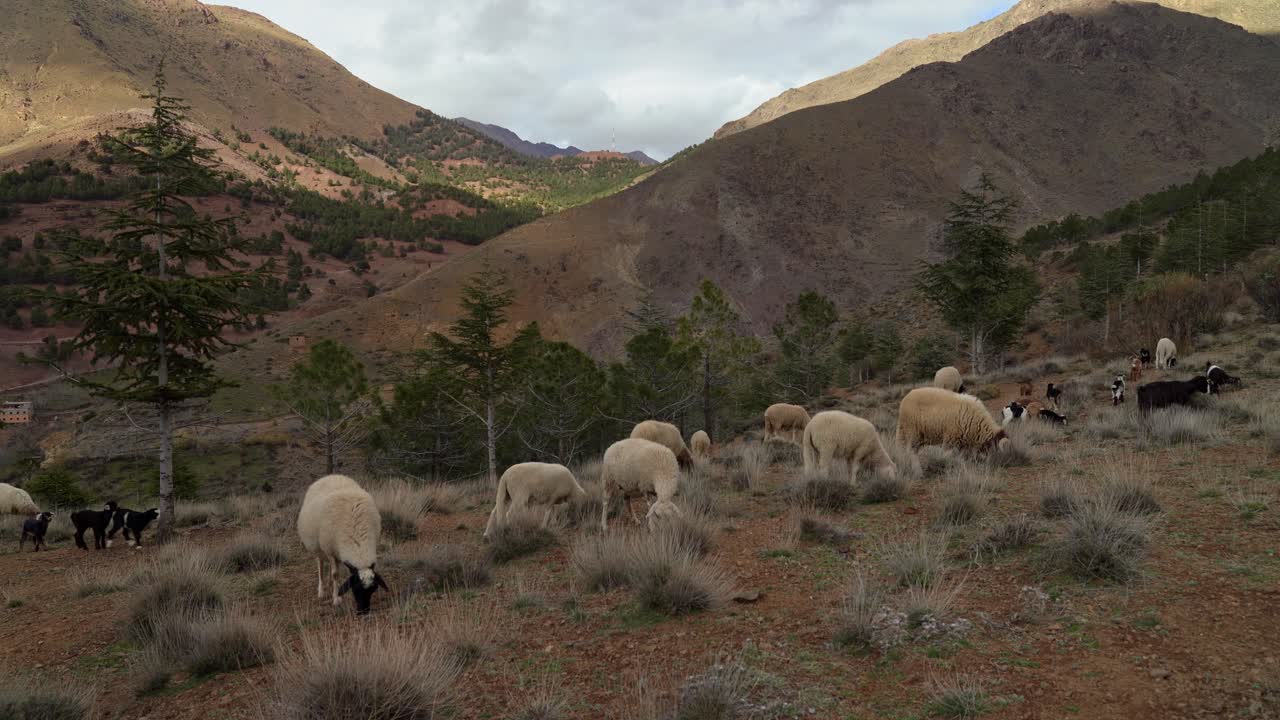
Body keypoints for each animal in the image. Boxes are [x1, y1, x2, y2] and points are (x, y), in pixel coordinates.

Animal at [297, 474, 388, 614]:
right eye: (355, 589)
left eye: (373, 590)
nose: (363, 612)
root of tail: (331, 476)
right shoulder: (329, 550)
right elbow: (335, 574)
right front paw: (336, 599)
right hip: (318, 548)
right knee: (320, 564)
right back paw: (321, 590)